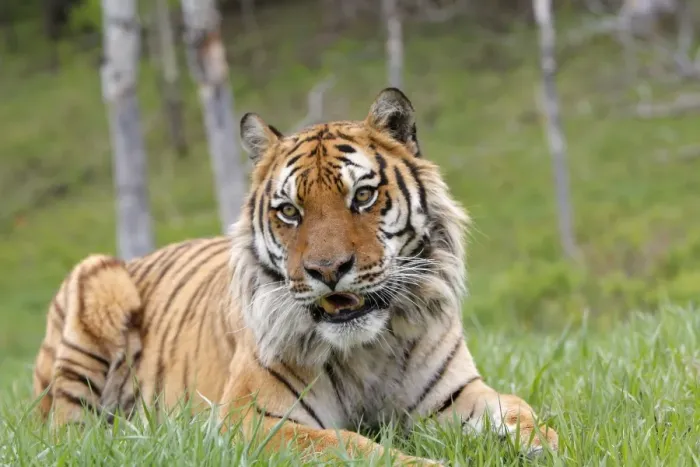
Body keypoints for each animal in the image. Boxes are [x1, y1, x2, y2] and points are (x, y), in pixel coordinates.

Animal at [32, 88, 558, 464]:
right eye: (289, 211)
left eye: (362, 196)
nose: (328, 270)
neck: (368, 348)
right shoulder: (252, 419)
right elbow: (349, 445)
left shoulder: (454, 397)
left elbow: (522, 411)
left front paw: (541, 444)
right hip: (97, 284)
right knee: (66, 435)